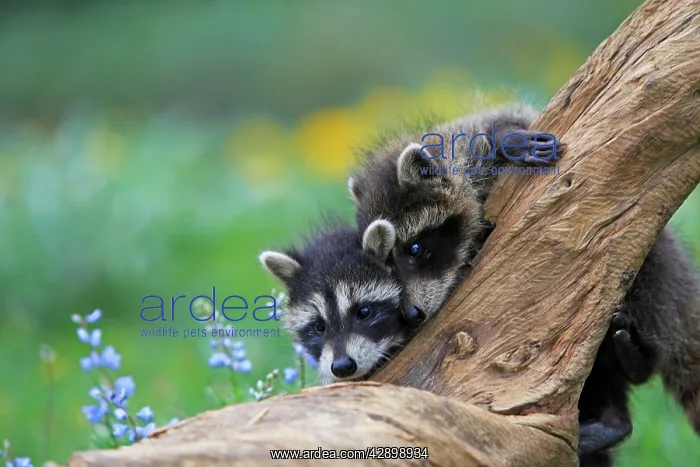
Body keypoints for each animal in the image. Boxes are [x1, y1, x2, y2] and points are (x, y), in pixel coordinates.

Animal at [347, 104, 700, 466]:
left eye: (414, 249)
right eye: (386, 265)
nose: (411, 316)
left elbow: (506, 122)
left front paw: (507, 138)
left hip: (650, 268)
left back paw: (639, 360)